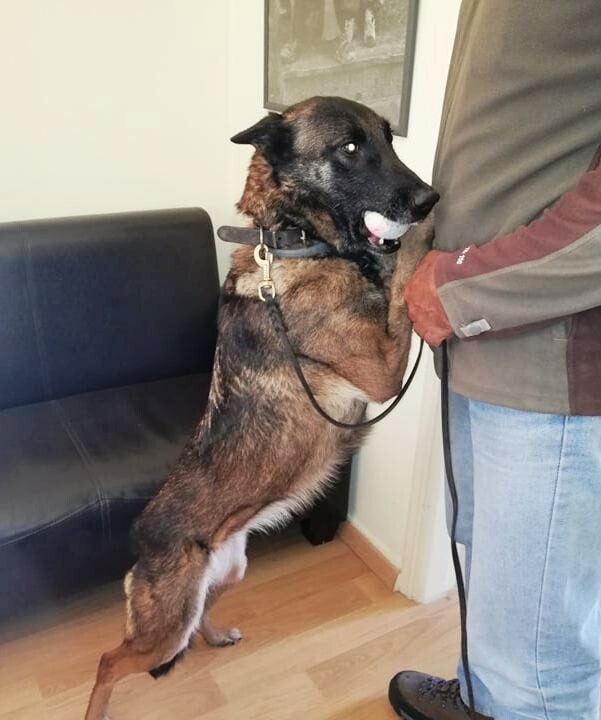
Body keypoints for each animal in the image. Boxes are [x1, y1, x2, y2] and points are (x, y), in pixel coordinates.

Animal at [84, 96, 438, 720]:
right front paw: (422, 240)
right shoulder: (383, 374)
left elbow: (394, 277)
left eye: (390, 140)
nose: (429, 198)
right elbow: (401, 282)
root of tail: (140, 539)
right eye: (350, 148)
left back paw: (219, 634)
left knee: (203, 613)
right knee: (109, 660)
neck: (295, 240)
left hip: (228, 575)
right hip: (162, 629)